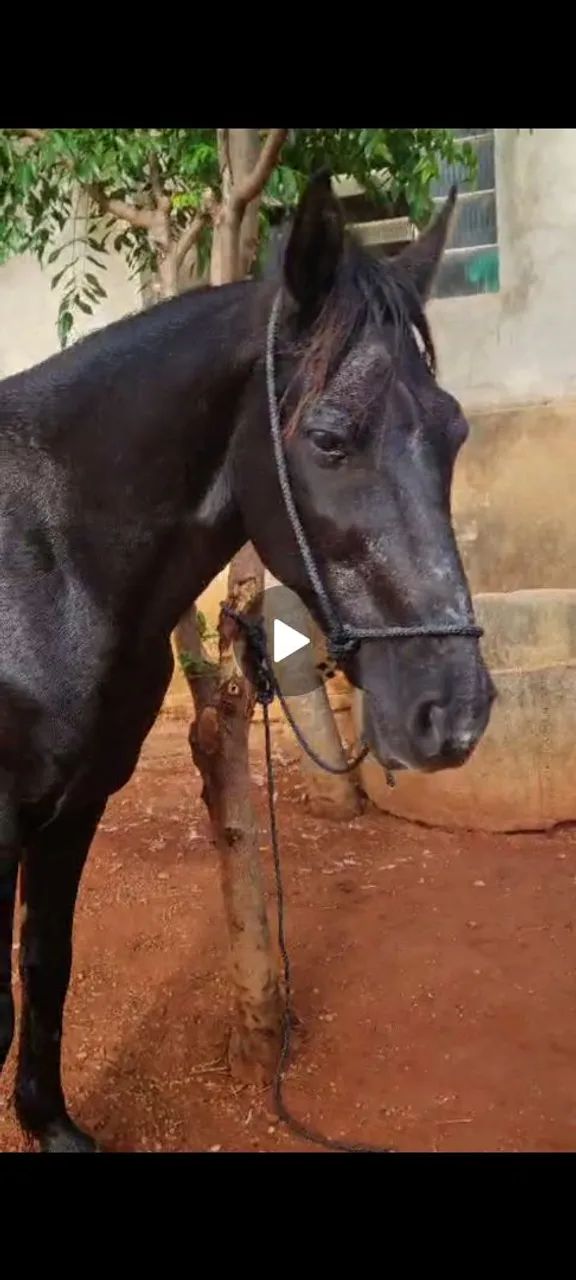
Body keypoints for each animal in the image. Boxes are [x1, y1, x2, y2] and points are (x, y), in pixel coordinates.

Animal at [0, 171, 494, 1152]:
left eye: (454, 434)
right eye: (330, 438)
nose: (452, 712)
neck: (45, 560)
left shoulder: (71, 811)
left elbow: (46, 962)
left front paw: (48, 1121)